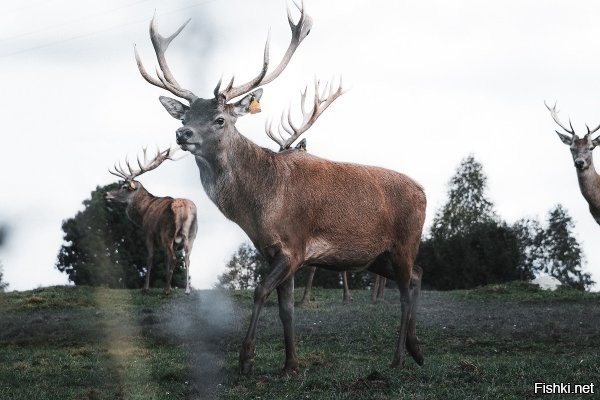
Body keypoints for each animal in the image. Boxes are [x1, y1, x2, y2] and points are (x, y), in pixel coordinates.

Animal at [136, 2, 426, 376]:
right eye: (184, 118)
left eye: (220, 119)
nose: (182, 134)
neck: (260, 206)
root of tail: (423, 191)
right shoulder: (271, 250)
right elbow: (286, 309)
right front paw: (290, 365)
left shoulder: (294, 246)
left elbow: (259, 291)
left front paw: (246, 358)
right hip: (377, 256)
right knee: (417, 276)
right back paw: (415, 350)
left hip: (405, 241)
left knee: (406, 288)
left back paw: (399, 356)